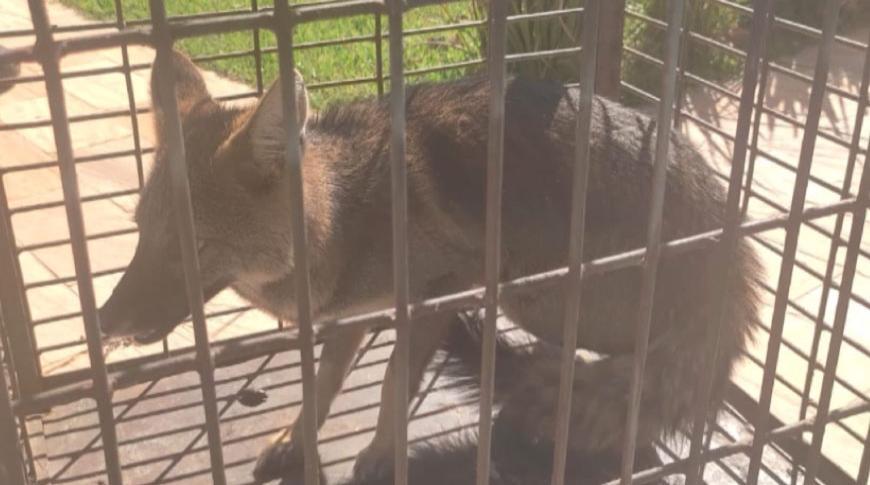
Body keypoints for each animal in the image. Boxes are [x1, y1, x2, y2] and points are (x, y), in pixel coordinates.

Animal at [99, 51, 760, 482]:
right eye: (140, 234)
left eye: (191, 248)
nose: (104, 321)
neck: (351, 215)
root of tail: (733, 239)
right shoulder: (352, 313)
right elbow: (323, 381)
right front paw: (295, 439)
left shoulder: (448, 286)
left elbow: (395, 378)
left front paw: (381, 455)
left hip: (534, 293)